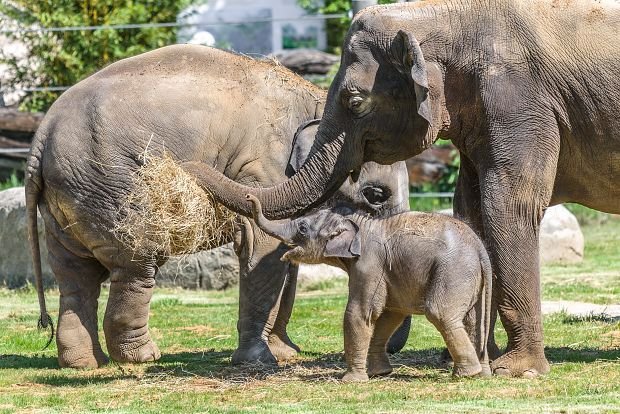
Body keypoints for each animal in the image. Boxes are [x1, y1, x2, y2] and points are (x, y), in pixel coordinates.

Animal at [25, 45, 412, 368]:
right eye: (375, 195)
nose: (186, 167)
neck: (320, 103)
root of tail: (42, 134)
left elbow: (287, 256)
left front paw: (286, 353)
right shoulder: (264, 167)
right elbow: (263, 247)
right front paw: (261, 361)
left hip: (70, 196)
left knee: (75, 275)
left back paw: (84, 363)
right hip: (110, 187)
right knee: (136, 264)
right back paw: (142, 357)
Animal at [245, 196, 492, 384]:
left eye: (303, 228)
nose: (249, 197)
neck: (359, 224)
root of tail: (480, 249)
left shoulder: (369, 264)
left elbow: (359, 313)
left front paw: (351, 381)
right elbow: (391, 315)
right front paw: (378, 374)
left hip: (453, 270)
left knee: (441, 314)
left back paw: (466, 374)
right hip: (469, 278)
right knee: (472, 320)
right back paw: (481, 373)